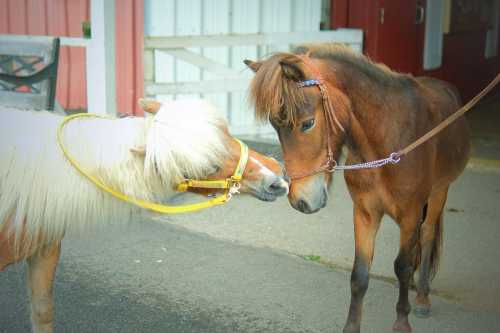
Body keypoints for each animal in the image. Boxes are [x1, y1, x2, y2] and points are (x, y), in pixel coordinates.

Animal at [244, 42, 470, 330]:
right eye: (275, 126)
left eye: (308, 123)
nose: (301, 201)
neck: (388, 142)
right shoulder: (365, 212)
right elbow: (360, 274)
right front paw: (351, 326)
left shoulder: (410, 215)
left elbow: (403, 267)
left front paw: (402, 322)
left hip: (440, 191)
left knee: (428, 234)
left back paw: (421, 298)